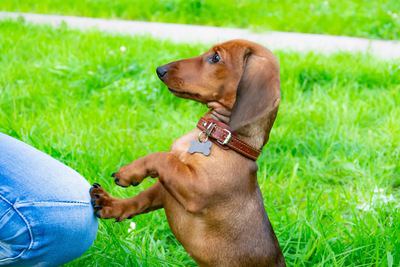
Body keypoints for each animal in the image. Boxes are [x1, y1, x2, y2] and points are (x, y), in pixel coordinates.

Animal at [90, 38, 284, 266]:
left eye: (216, 57)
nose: (160, 69)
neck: (221, 138)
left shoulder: (195, 190)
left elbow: (163, 158)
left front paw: (130, 172)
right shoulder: (167, 189)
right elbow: (143, 197)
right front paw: (112, 204)